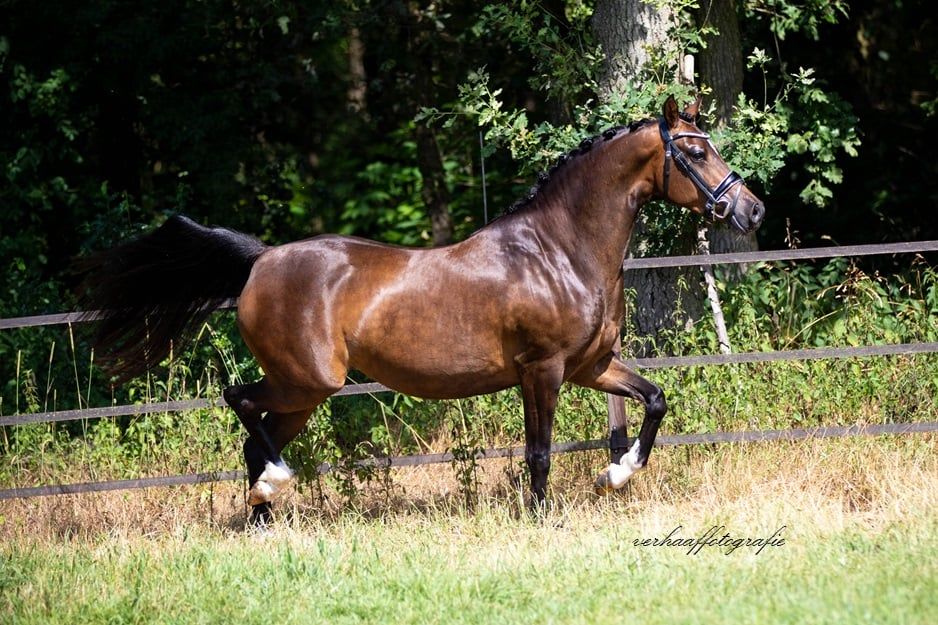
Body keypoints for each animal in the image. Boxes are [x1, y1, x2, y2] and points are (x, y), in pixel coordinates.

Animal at [78, 96, 764, 523]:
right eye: (694, 153)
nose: (751, 210)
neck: (560, 250)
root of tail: (262, 260)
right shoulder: (542, 371)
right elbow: (538, 452)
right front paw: (542, 517)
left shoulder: (591, 366)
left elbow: (654, 401)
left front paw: (614, 475)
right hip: (309, 379)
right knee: (239, 402)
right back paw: (275, 484)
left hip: (303, 392)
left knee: (255, 436)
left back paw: (263, 518)